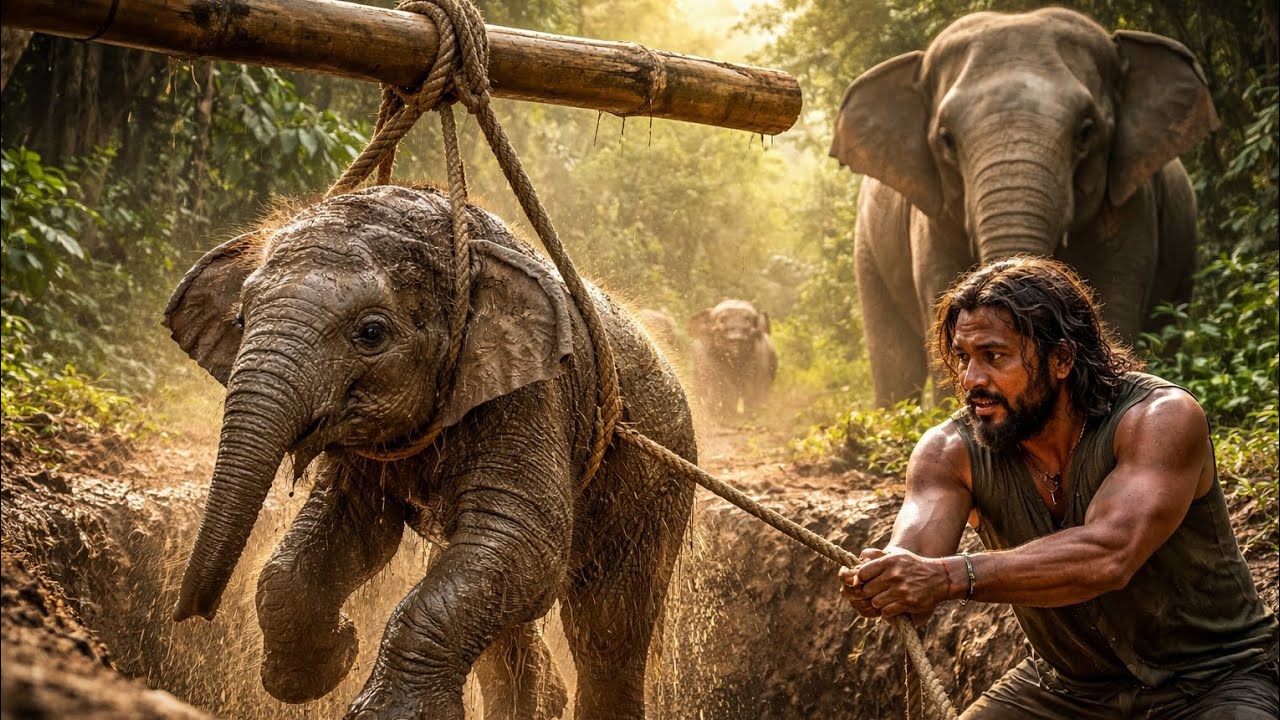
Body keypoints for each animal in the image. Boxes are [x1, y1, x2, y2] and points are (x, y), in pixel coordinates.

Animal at [163, 185, 696, 719]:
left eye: (371, 333)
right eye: (240, 319)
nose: (189, 613)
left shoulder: (533, 391)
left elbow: (526, 539)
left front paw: (384, 709)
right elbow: (352, 530)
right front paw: (328, 664)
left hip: (659, 479)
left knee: (607, 628)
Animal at [830, 7, 1219, 406]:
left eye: (1086, 131)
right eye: (946, 139)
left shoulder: (1132, 203)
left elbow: (1115, 302)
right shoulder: (929, 223)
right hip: (868, 252)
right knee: (894, 362)